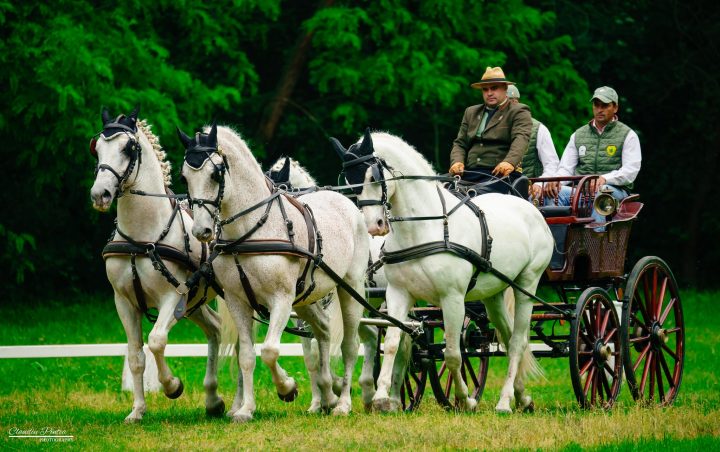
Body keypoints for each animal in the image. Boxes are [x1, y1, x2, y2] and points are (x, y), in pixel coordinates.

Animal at [90, 107, 225, 422]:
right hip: (195, 303)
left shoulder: (172, 297)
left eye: (128, 148)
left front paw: (172, 385)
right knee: (215, 329)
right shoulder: (124, 302)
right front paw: (137, 410)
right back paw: (213, 400)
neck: (143, 237)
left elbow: (156, 341)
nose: (100, 194)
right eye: (96, 148)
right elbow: (135, 355)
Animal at [179, 123, 368, 420]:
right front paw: (246, 410)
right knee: (323, 332)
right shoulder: (238, 301)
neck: (250, 231)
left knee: (350, 346)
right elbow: (246, 355)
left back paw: (343, 402)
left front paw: (287, 388)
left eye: (215, 173)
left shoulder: (281, 299)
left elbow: (269, 350)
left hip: (350, 288)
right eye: (184, 176)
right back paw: (328, 393)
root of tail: (345, 201)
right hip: (305, 298)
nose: (201, 231)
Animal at [332, 130, 552, 414]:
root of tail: (529, 206)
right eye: (349, 182)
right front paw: (382, 398)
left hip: (527, 284)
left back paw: (504, 402)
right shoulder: (398, 294)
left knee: (517, 342)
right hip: (493, 294)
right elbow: (392, 343)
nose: (373, 226)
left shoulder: (452, 298)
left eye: (373, 177)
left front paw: (465, 399)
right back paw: (522, 396)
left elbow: (453, 353)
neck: (426, 227)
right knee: (506, 335)